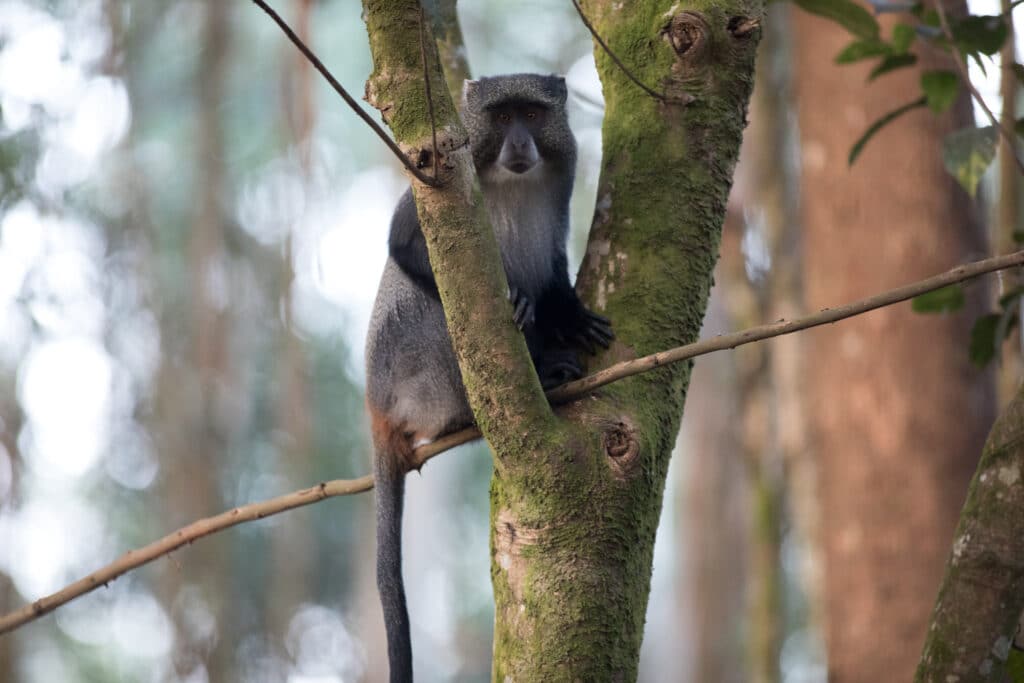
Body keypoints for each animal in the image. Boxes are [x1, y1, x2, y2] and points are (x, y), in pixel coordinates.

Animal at [365, 73, 613, 683]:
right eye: (501, 118)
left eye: (532, 114)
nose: (520, 143)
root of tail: (377, 404)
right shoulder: (431, 181)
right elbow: (402, 245)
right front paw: (524, 308)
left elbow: (551, 272)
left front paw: (570, 315)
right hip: (415, 374)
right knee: (447, 310)